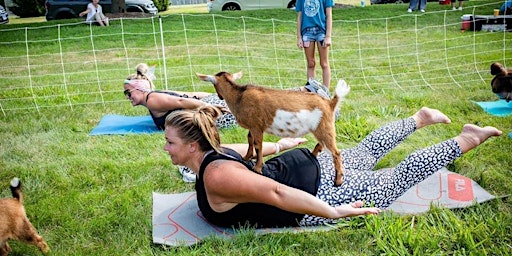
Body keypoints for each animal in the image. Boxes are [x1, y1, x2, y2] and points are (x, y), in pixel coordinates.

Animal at [194, 71, 350, 185]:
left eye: (214, 84)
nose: (220, 97)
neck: (239, 96)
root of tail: (330, 103)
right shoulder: (252, 126)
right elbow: (249, 139)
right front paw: (246, 157)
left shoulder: (257, 126)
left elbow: (258, 145)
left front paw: (257, 168)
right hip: (321, 129)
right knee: (323, 144)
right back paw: (313, 154)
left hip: (324, 127)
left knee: (336, 152)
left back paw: (338, 181)